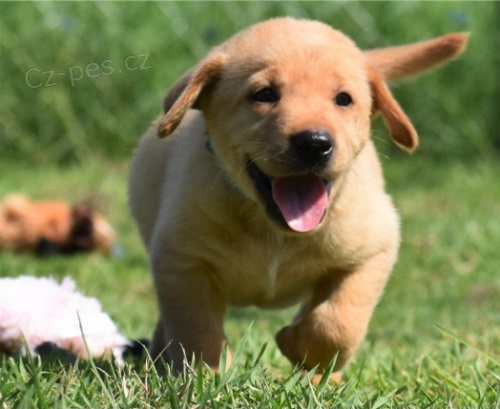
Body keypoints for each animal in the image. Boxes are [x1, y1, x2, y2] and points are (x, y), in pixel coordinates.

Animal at [128, 17, 464, 378]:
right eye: (264, 94)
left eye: (343, 99)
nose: (315, 143)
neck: (273, 230)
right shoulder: (181, 259)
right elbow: (195, 328)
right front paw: (207, 376)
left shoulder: (373, 250)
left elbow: (338, 322)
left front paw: (298, 347)